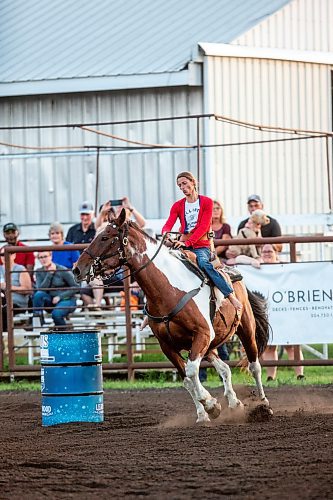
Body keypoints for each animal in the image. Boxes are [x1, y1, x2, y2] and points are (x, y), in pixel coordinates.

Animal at [72, 209, 270, 424]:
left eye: (105, 237)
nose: (77, 269)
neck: (168, 290)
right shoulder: (167, 344)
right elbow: (187, 379)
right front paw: (204, 413)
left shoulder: (202, 333)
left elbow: (191, 371)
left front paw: (211, 405)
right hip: (209, 343)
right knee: (224, 368)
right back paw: (234, 404)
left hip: (245, 329)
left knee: (254, 365)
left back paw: (263, 406)